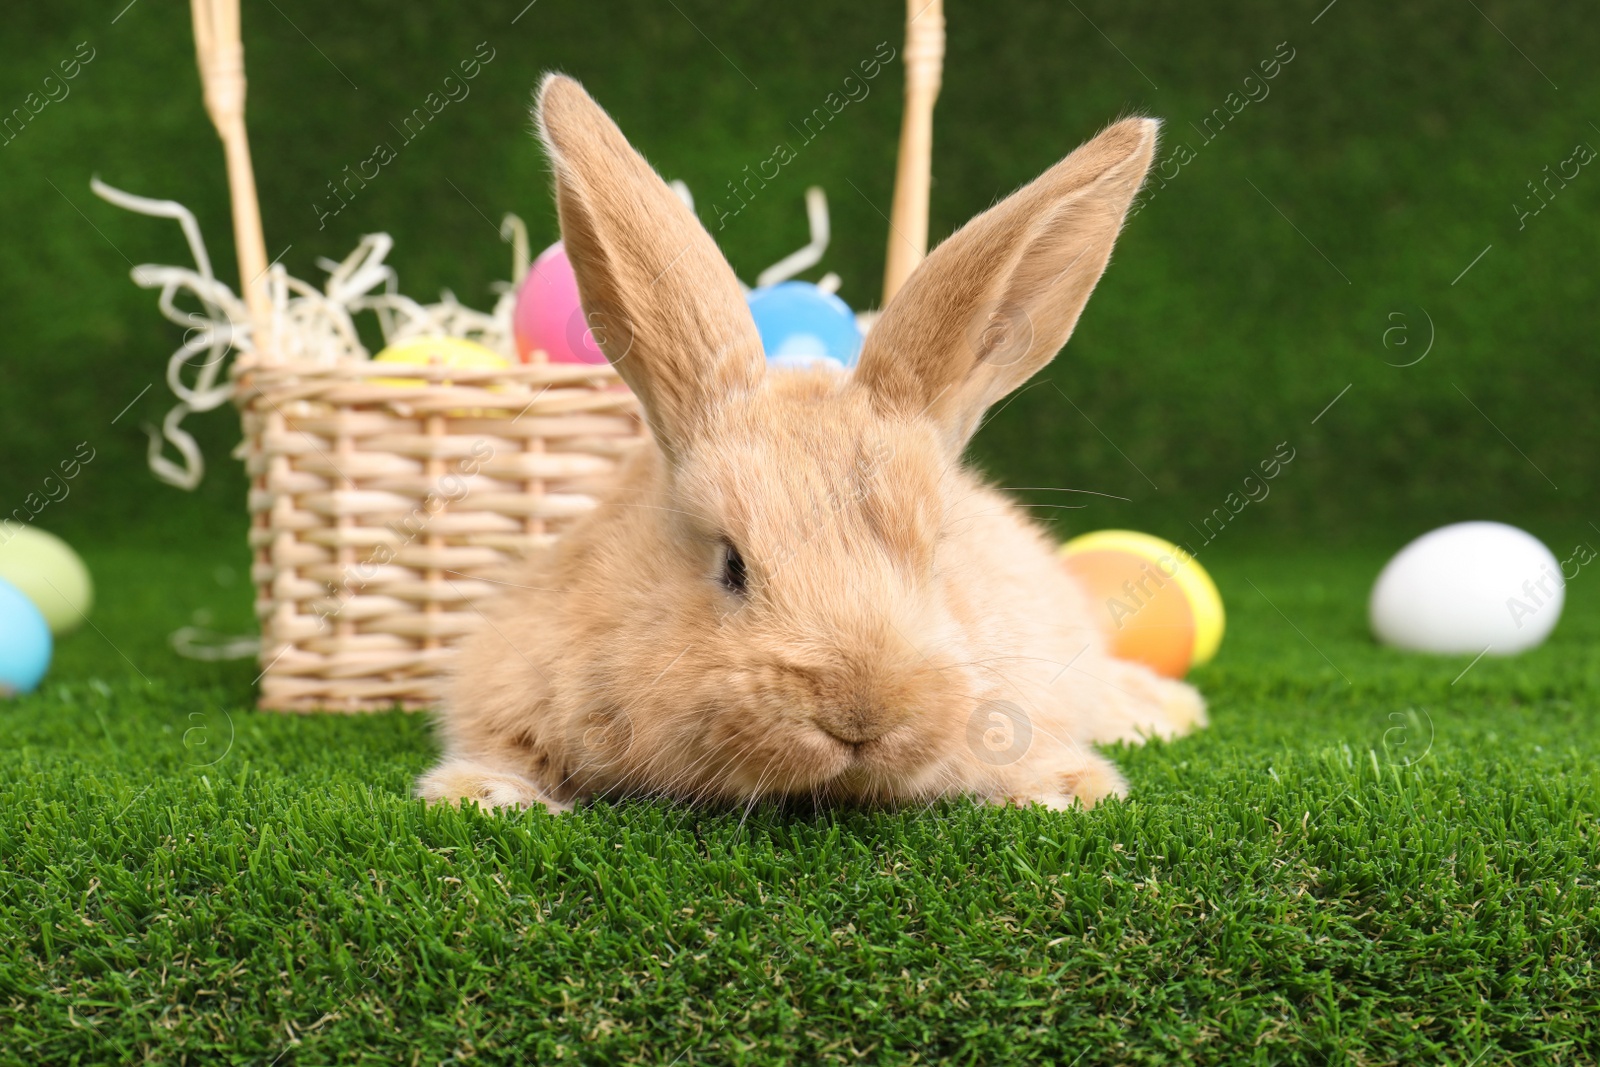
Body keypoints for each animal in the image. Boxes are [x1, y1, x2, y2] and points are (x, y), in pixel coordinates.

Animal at [412, 75, 1203, 819]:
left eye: (938, 554)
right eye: (732, 565)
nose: (860, 712)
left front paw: (1067, 790)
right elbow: (505, 748)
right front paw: (485, 795)